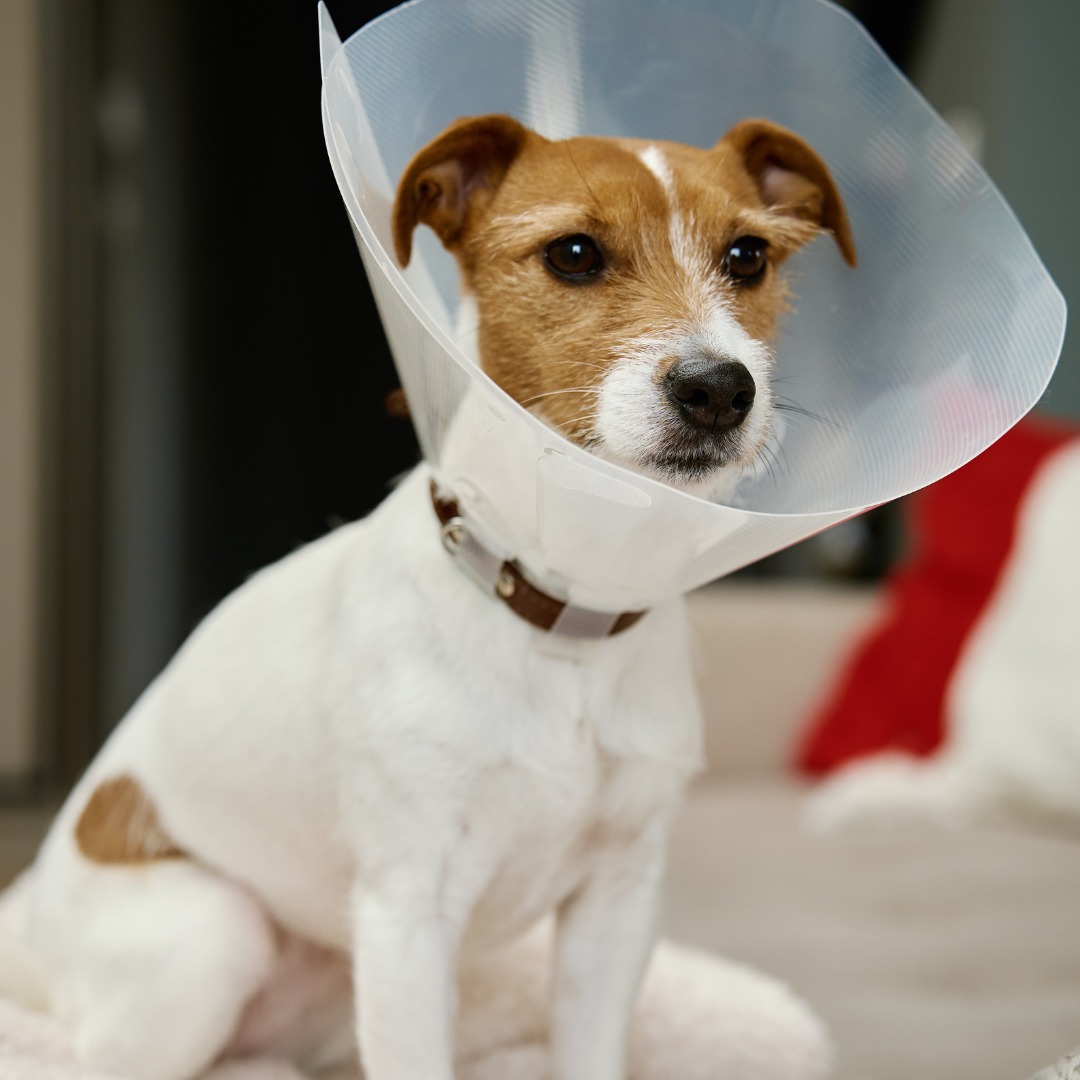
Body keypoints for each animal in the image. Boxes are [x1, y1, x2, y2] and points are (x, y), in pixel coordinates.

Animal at [2, 113, 851, 1075]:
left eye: (748, 256)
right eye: (574, 253)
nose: (718, 389)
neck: (560, 612)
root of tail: (24, 932)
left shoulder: (618, 900)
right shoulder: (410, 912)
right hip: (213, 933)